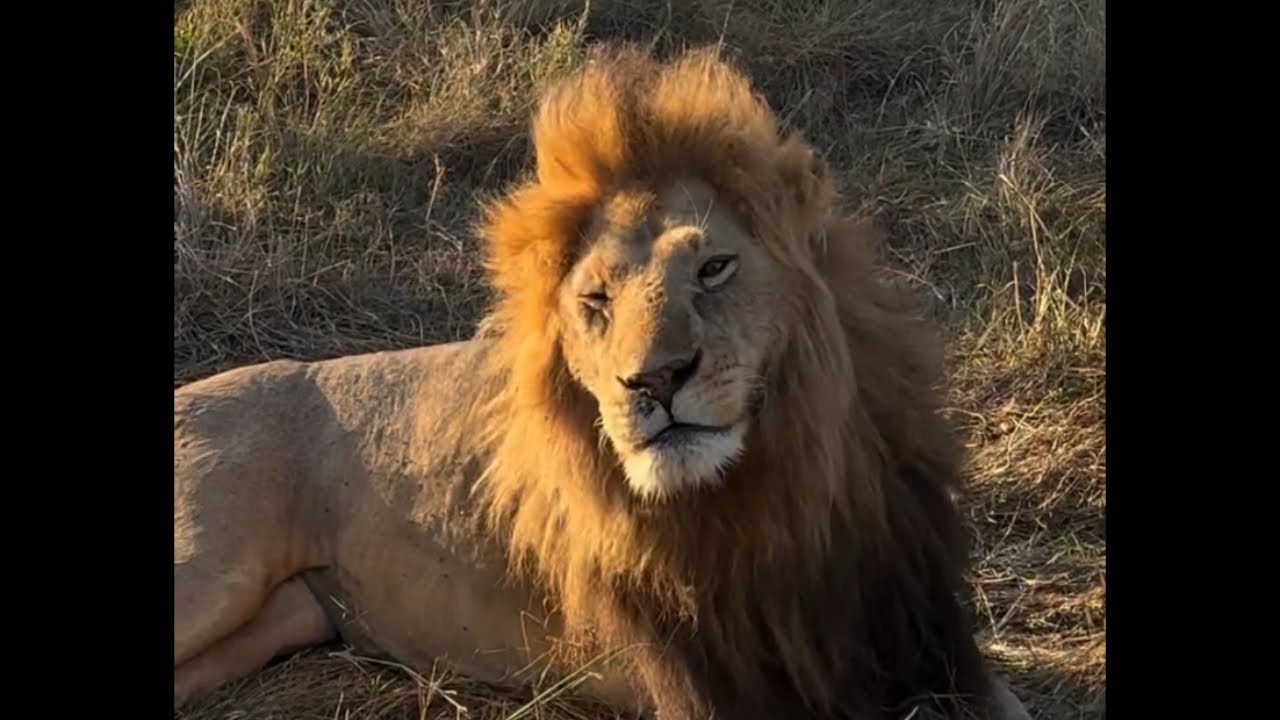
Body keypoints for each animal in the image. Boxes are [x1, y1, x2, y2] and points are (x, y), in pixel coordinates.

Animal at [174, 46, 1032, 720]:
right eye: (597, 300)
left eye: (714, 268)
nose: (652, 379)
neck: (768, 499)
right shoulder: (709, 684)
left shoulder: (923, 634)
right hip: (213, 570)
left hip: (277, 619)